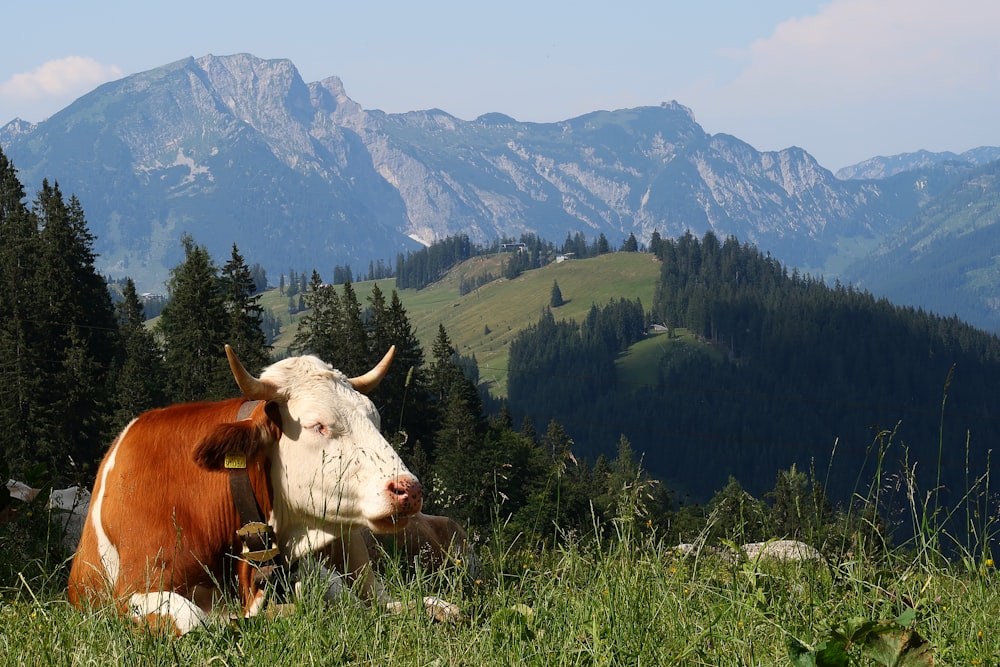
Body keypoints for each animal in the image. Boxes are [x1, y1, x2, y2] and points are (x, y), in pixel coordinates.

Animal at [70, 348, 458, 636]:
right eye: (317, 425)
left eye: (374, 418)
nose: (409, 489)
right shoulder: (131, 591)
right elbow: (194, 622)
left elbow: (330, 594)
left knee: (379, 601)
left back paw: (437, 607)